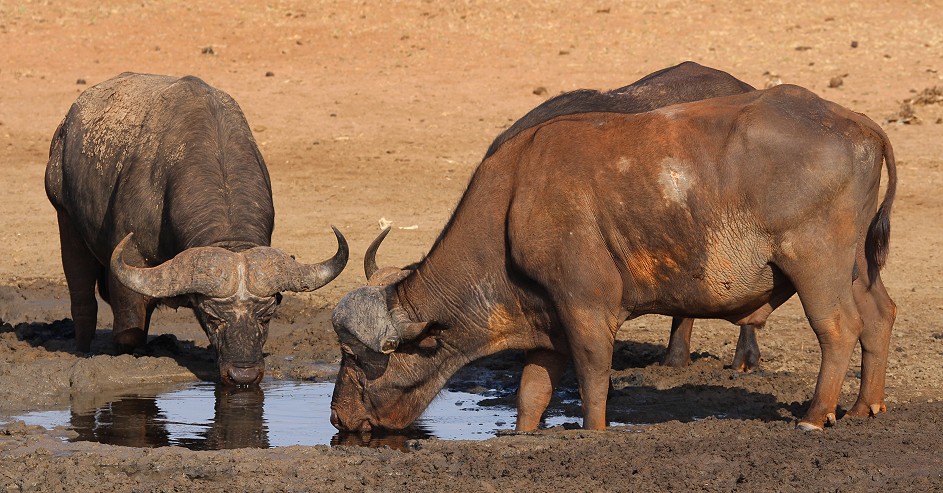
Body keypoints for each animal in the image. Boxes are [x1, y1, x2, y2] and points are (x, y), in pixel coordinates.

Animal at [44, 72, 346, 384]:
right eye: (212, 317)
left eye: (266, 316)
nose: (243, 375)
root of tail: (67, 125)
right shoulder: (130, 260)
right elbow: (129, 330)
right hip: (65, 218)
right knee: (82, 298)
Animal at [332, 82, 900, 432]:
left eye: (358, 359)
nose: (338, 418)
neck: (513, 202)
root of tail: (856, 123)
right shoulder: (547, 325)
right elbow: (531, 394)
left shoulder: (587, 310)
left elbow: (592, 381)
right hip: (858, 267)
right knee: (879, 316)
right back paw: (864, 407)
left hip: (816, 264)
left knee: (838, 328)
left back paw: (815, 415)